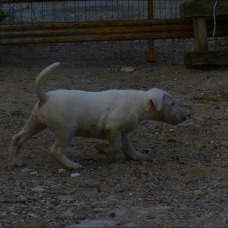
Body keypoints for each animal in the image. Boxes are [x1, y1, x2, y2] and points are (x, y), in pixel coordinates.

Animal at [9, 62, 186, 169]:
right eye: (172, 104)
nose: (185, 117)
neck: (138, 103)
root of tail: (45, 97)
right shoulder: (112, 127)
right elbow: (116, 147)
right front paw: (101, 149)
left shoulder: (121, 132)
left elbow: (127, 147)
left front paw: (139, 156)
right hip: (66, 129)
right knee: (56, 150)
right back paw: (71, 165)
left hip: (35, 122)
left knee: (18, 138)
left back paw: (16, 162)